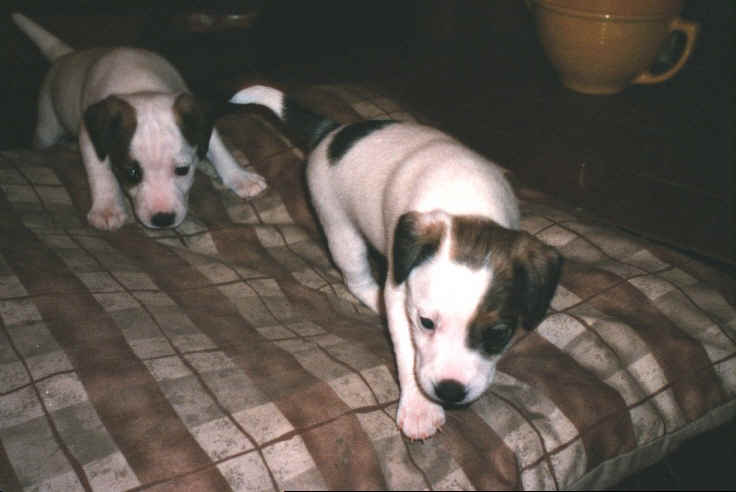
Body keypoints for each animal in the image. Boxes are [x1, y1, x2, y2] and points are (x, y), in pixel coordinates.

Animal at [11, 13, 267, 230]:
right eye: (131, 172)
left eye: (182, 170)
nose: (163, 219)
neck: (139, 85)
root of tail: (66, 56)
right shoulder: (90, 135)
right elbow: (100, 172)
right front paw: (107, 207)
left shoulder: (196, 119)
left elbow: (219, 148)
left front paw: (240, 177)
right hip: (47, 125)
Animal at [231, 85, 563, 439]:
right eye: (426, 322)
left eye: (498, 333)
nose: (450, 391)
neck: (470, 208)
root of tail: (333, 131)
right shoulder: (400, 292)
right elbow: (406, 351)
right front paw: (420, 407)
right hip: (341, 231)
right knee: (357, 279)